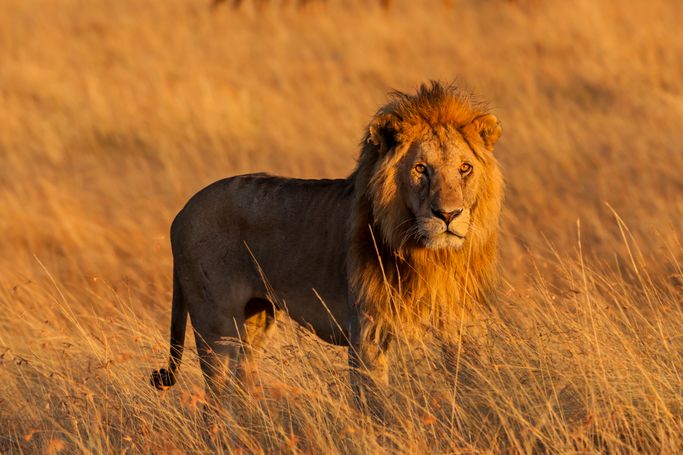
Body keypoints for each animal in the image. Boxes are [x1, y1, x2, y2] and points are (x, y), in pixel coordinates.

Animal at [151, 80, 502, 408]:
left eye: (465, 168)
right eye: (420, 169)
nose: (448, 214)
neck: (431, 257)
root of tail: (182, 212)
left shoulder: (460, 324)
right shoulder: (367, 333)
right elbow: (377, 405)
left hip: (255, 321)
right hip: (217, 326)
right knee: (215, 402)